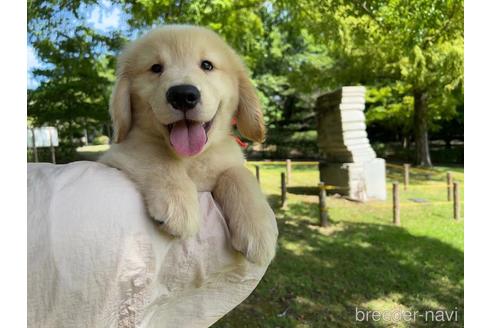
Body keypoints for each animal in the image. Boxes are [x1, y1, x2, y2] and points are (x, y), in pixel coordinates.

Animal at [100, 26, 276, 266]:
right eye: (156, 68)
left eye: (207, 65)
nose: (183, 95)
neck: (192, 158)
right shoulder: (122, 150)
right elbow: (156, 156)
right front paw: (178, 204)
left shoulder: (229, 161)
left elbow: (239, 175)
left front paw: (258, 229)